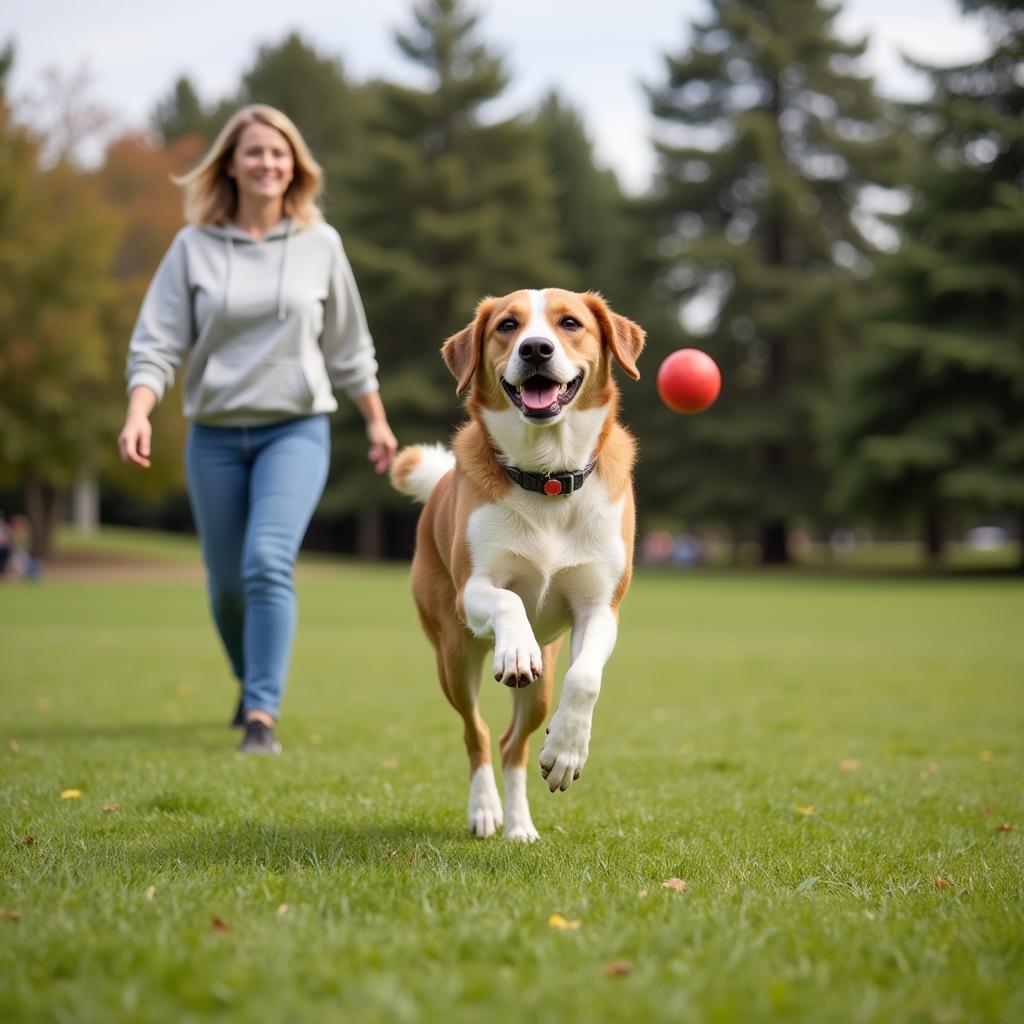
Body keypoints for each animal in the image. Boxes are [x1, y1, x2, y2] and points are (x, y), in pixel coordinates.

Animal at [387, 286, 643, 839]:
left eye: (569, 323)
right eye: (508, 325)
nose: (536, 349)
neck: (547, 476)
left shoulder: (601, 606)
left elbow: (585, 678)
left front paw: (566, 752)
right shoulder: (473, 589)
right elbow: (507, 600)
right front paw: (516, 649)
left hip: (541, 687)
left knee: (513, 744)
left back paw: (520, 824)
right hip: (453, 656)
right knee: (478, 734)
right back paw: (486, 811)